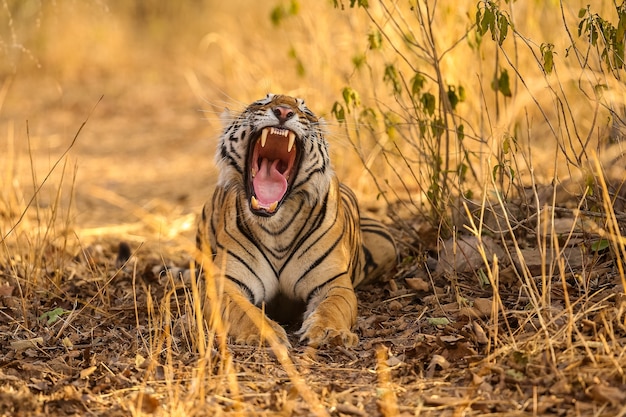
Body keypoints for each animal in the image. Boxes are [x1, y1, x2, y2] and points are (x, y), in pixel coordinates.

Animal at [197, 94, 394, 348]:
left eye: (305, 111)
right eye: (263, 102)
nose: (283, 111)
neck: (276, 225)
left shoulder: (333, 283)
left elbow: (333, 307)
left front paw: (330, 332)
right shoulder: (225, 283)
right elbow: (246, 313)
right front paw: (267, 334)